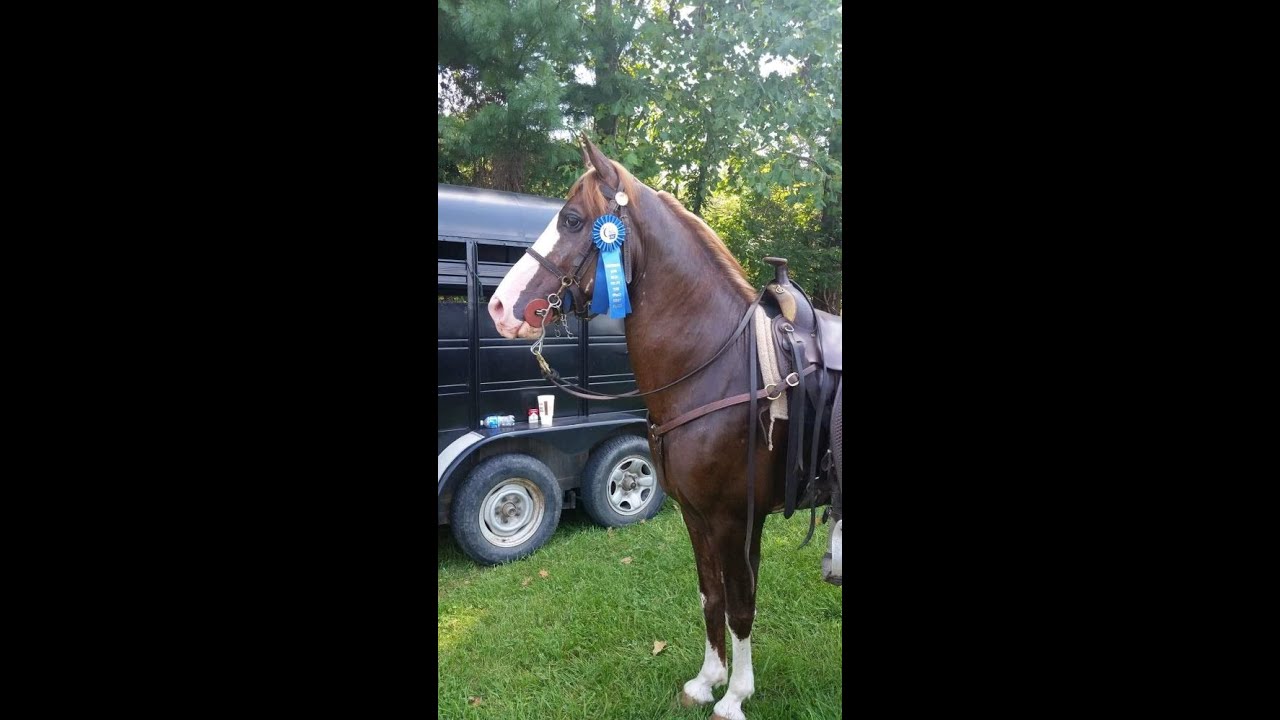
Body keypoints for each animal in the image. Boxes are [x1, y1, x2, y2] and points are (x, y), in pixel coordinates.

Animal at [487, 135, 841, 720]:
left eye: (572, 220)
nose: (498, 307)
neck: (716, 367)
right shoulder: (697, 516)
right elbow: (711, 596)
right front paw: (708, 681)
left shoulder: (734, 519)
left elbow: (741, 605)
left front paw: (735, 697)